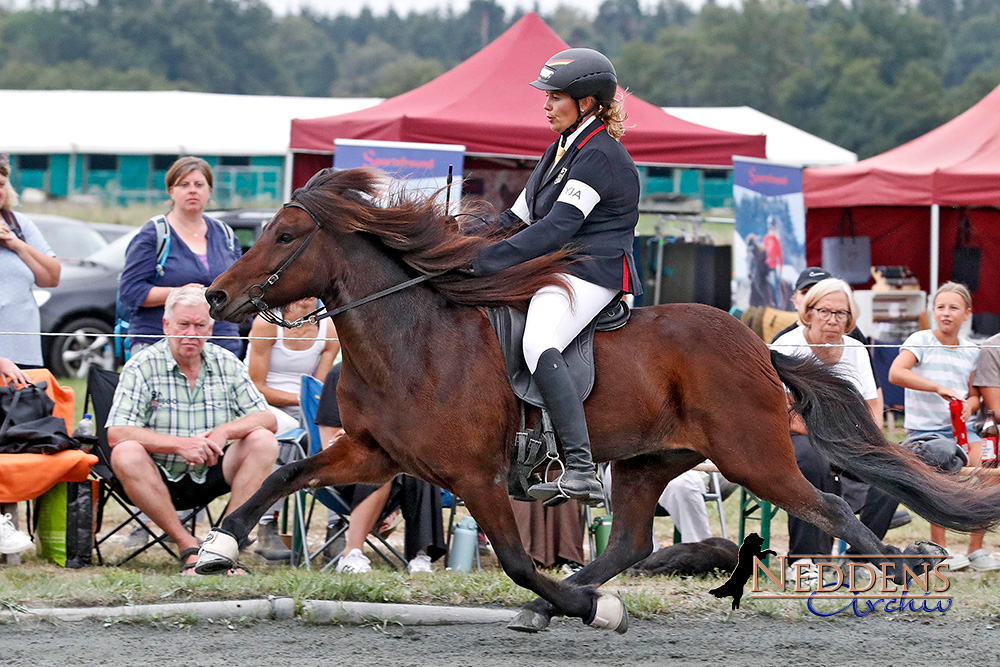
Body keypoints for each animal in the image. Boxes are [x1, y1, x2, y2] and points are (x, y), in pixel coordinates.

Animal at [203, 170, 1000, 636]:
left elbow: (518, 560)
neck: (412, 338)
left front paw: (586, 608)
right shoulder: (374, 454)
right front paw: (217, 545)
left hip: (752, 455)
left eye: (286, 234)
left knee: (829, 506)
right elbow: (284, 472)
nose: (215, 296)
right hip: (651, 461)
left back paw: (896, 578)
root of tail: (755, 344)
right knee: (630, 543)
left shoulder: (475, 477)